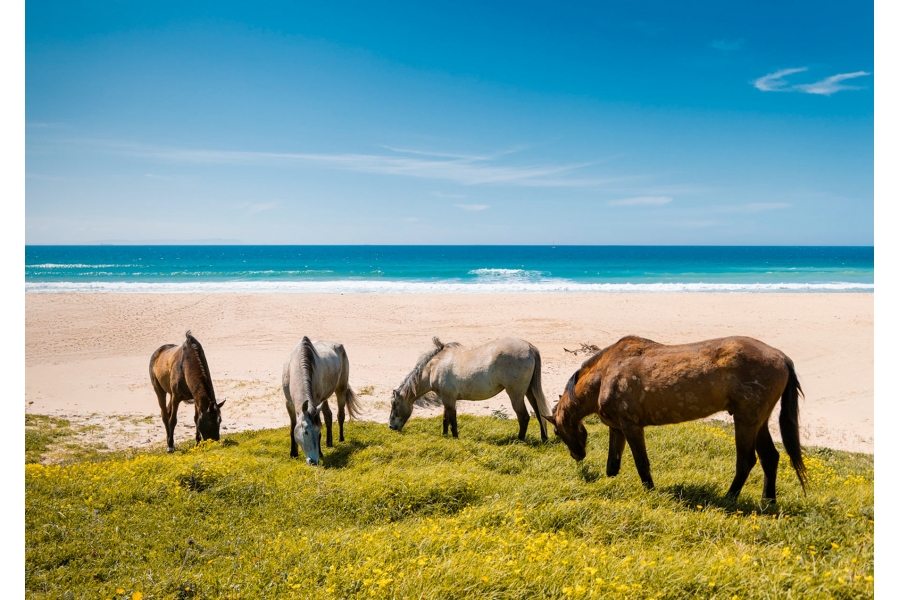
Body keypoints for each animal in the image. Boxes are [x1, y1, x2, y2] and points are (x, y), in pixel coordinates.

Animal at [282, 336, 359, 465]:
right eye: (306, 432)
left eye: (318, 432)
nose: (313, 461)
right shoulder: (289, 404)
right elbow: (292, 428)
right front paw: (293, 453)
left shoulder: (316, 403)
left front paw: (320, 453)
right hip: (325, 398)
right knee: (328, 416)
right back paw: (329, 442)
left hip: (341, 389)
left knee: (340, 414)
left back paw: (341, 438)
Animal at [389, 337, 550, 441]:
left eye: (394, 404)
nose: (391, 426)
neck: (434, 367)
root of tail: (529, 347)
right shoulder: (446, 398)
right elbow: (445, 418)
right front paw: (444, 436)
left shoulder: (449, 399)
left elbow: (452, 420)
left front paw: (455, 438)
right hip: (529, 391)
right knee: (539, 413)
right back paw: (544, 438)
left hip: (516, 395)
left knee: (524, 416)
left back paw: (519, 440)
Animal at [542, 335, 806, 501]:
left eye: (556, 431)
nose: (577, 455)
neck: (606, 373)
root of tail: (781, 358)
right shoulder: (617, 428)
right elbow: (612, 466)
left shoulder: (631, 426)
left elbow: (641, 463)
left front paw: (650, 491)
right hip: (758, 421)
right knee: (770, 458)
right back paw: (768, 501)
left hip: (746, 420)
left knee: (746, 461)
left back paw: (729, 498)